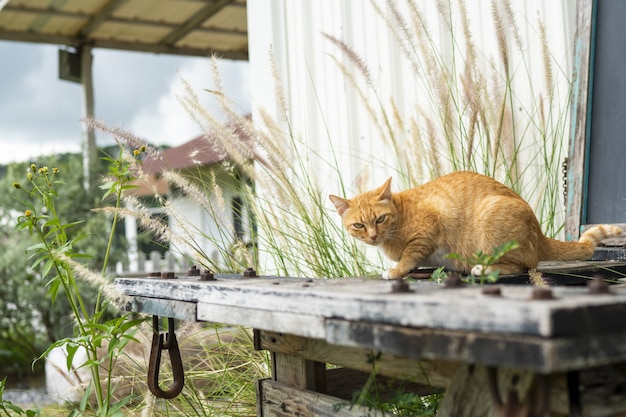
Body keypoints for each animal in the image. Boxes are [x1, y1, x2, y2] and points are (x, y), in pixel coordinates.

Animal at [330, 171, 620, 278]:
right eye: (359, 225)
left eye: (380, 219)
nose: (372, 236)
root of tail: (539, 234)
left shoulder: (428, 229)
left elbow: (410, 256)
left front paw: (397, 271)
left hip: (491, 220)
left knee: (524, 265)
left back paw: (483, 268)